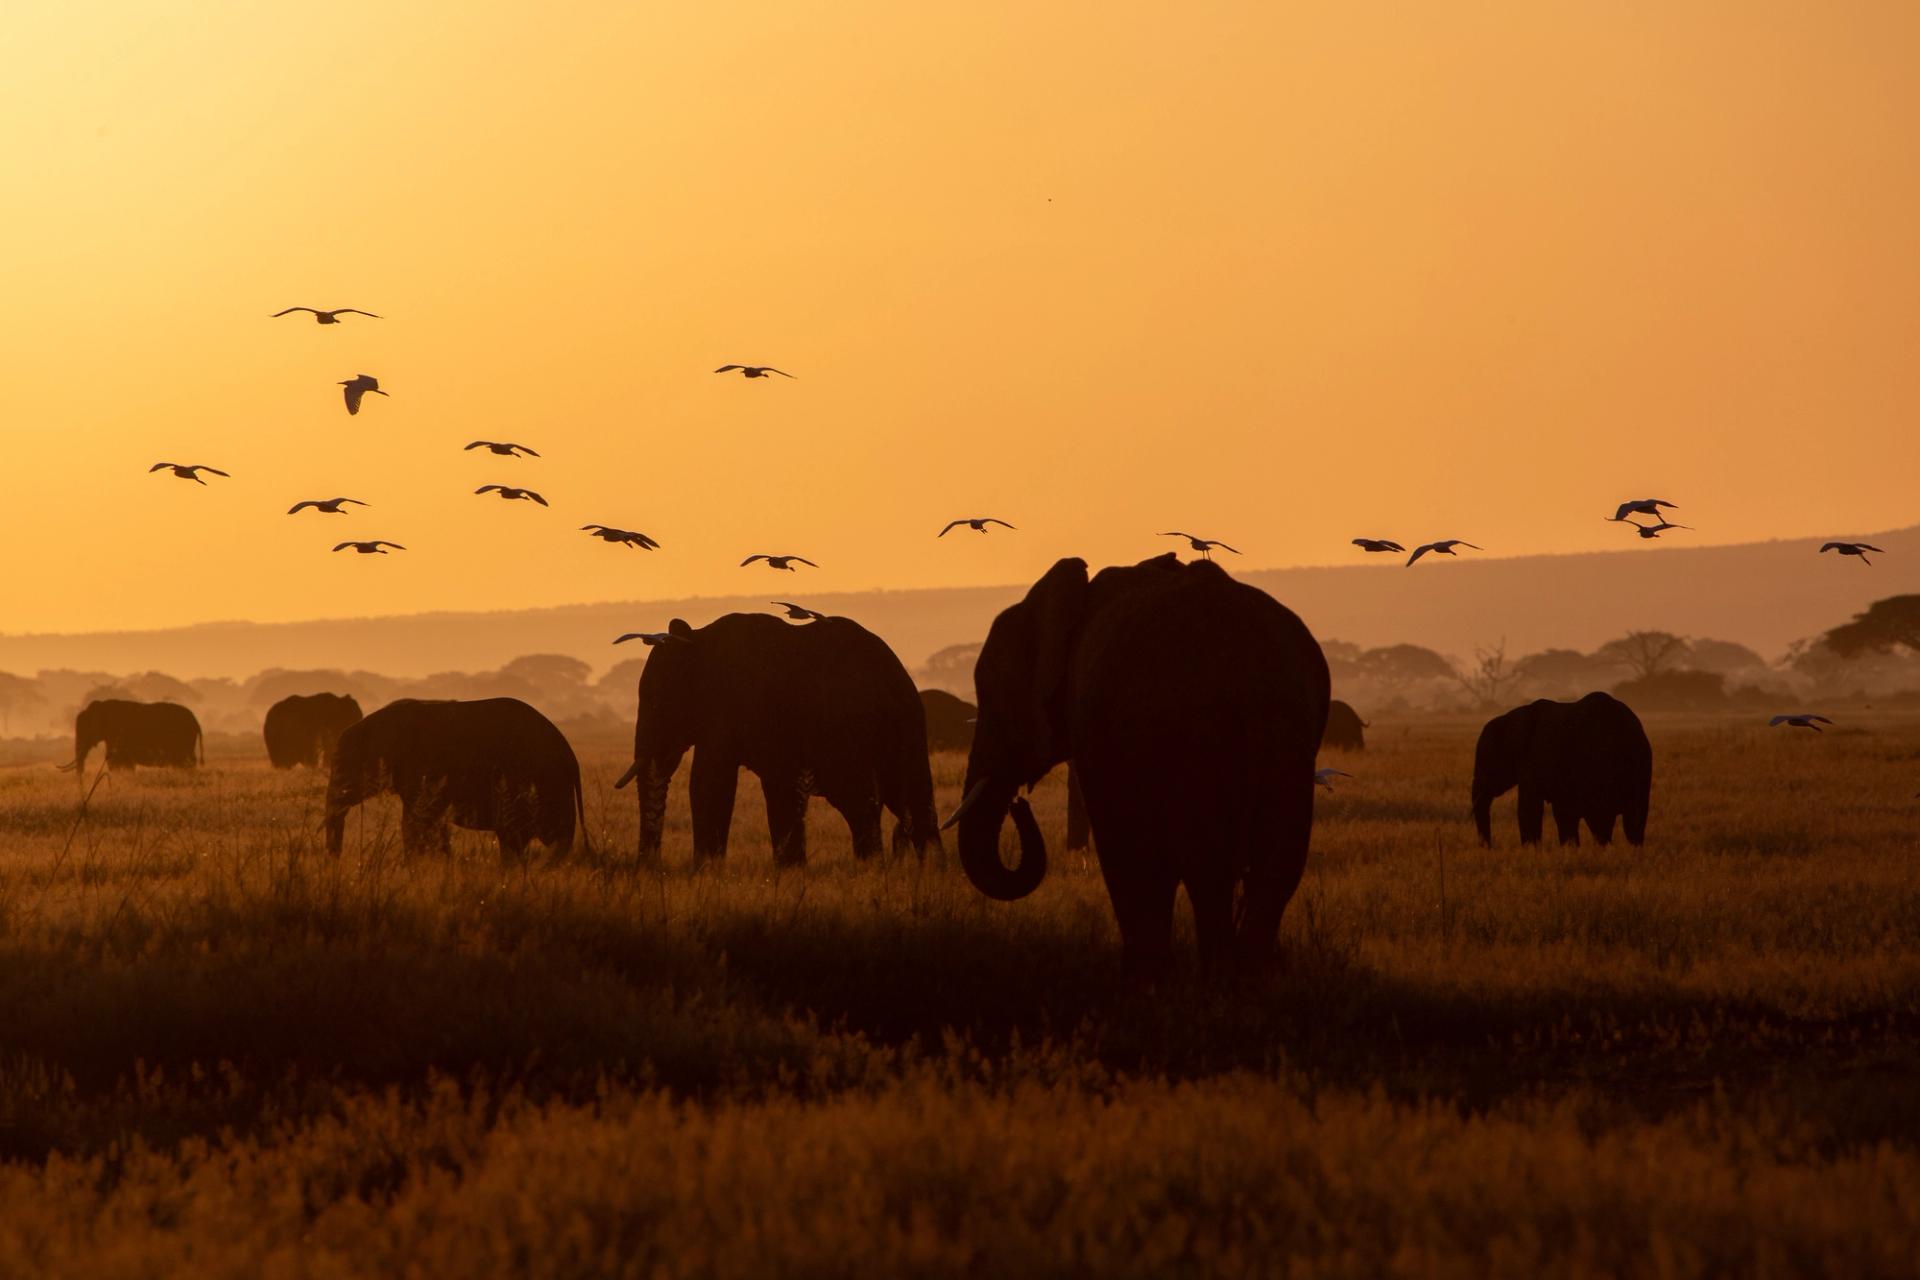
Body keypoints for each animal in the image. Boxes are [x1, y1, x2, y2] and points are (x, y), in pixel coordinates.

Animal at [59, 699, 202, 775]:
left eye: (85, 731)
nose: (81, 773)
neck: (102, 706)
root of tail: (196, 721)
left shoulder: (117, 735)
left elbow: (116, 760)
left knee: (185, 762)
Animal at [324, 697, 588, 858]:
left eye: (343, 769)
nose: (334, 859)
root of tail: (571, 756)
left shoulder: (423, 771)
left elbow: (416, 820)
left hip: (541, 783)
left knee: (530, 836)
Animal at [616, 613, 941, 866]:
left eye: (657, 702)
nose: (650, 865)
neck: (698, 638)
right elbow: (773, 788)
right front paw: (789, 869)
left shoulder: (728, 706)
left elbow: (709, 782)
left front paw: (706, 870)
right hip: (904, 726)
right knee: (903, 798)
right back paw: (922, 869)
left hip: (854, 732)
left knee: (867, 800)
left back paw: (881, 867)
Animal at [948, 554, 1330, 983]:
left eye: (990, 693)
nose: (1019, 804)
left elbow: (1128, 849)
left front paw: (1144, 982)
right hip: (1291, 735)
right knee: (1278, 864)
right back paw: (1250, 980)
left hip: (1198, 738)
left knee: (1209, 865)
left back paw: (1219, 982)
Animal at [1472, 692, 1651, 847]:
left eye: (1483, 764)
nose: (1488, 847)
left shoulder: (1533, 761)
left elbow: (1530, 808)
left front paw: (1531, 850)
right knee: (1633, 820)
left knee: (1605, 819)